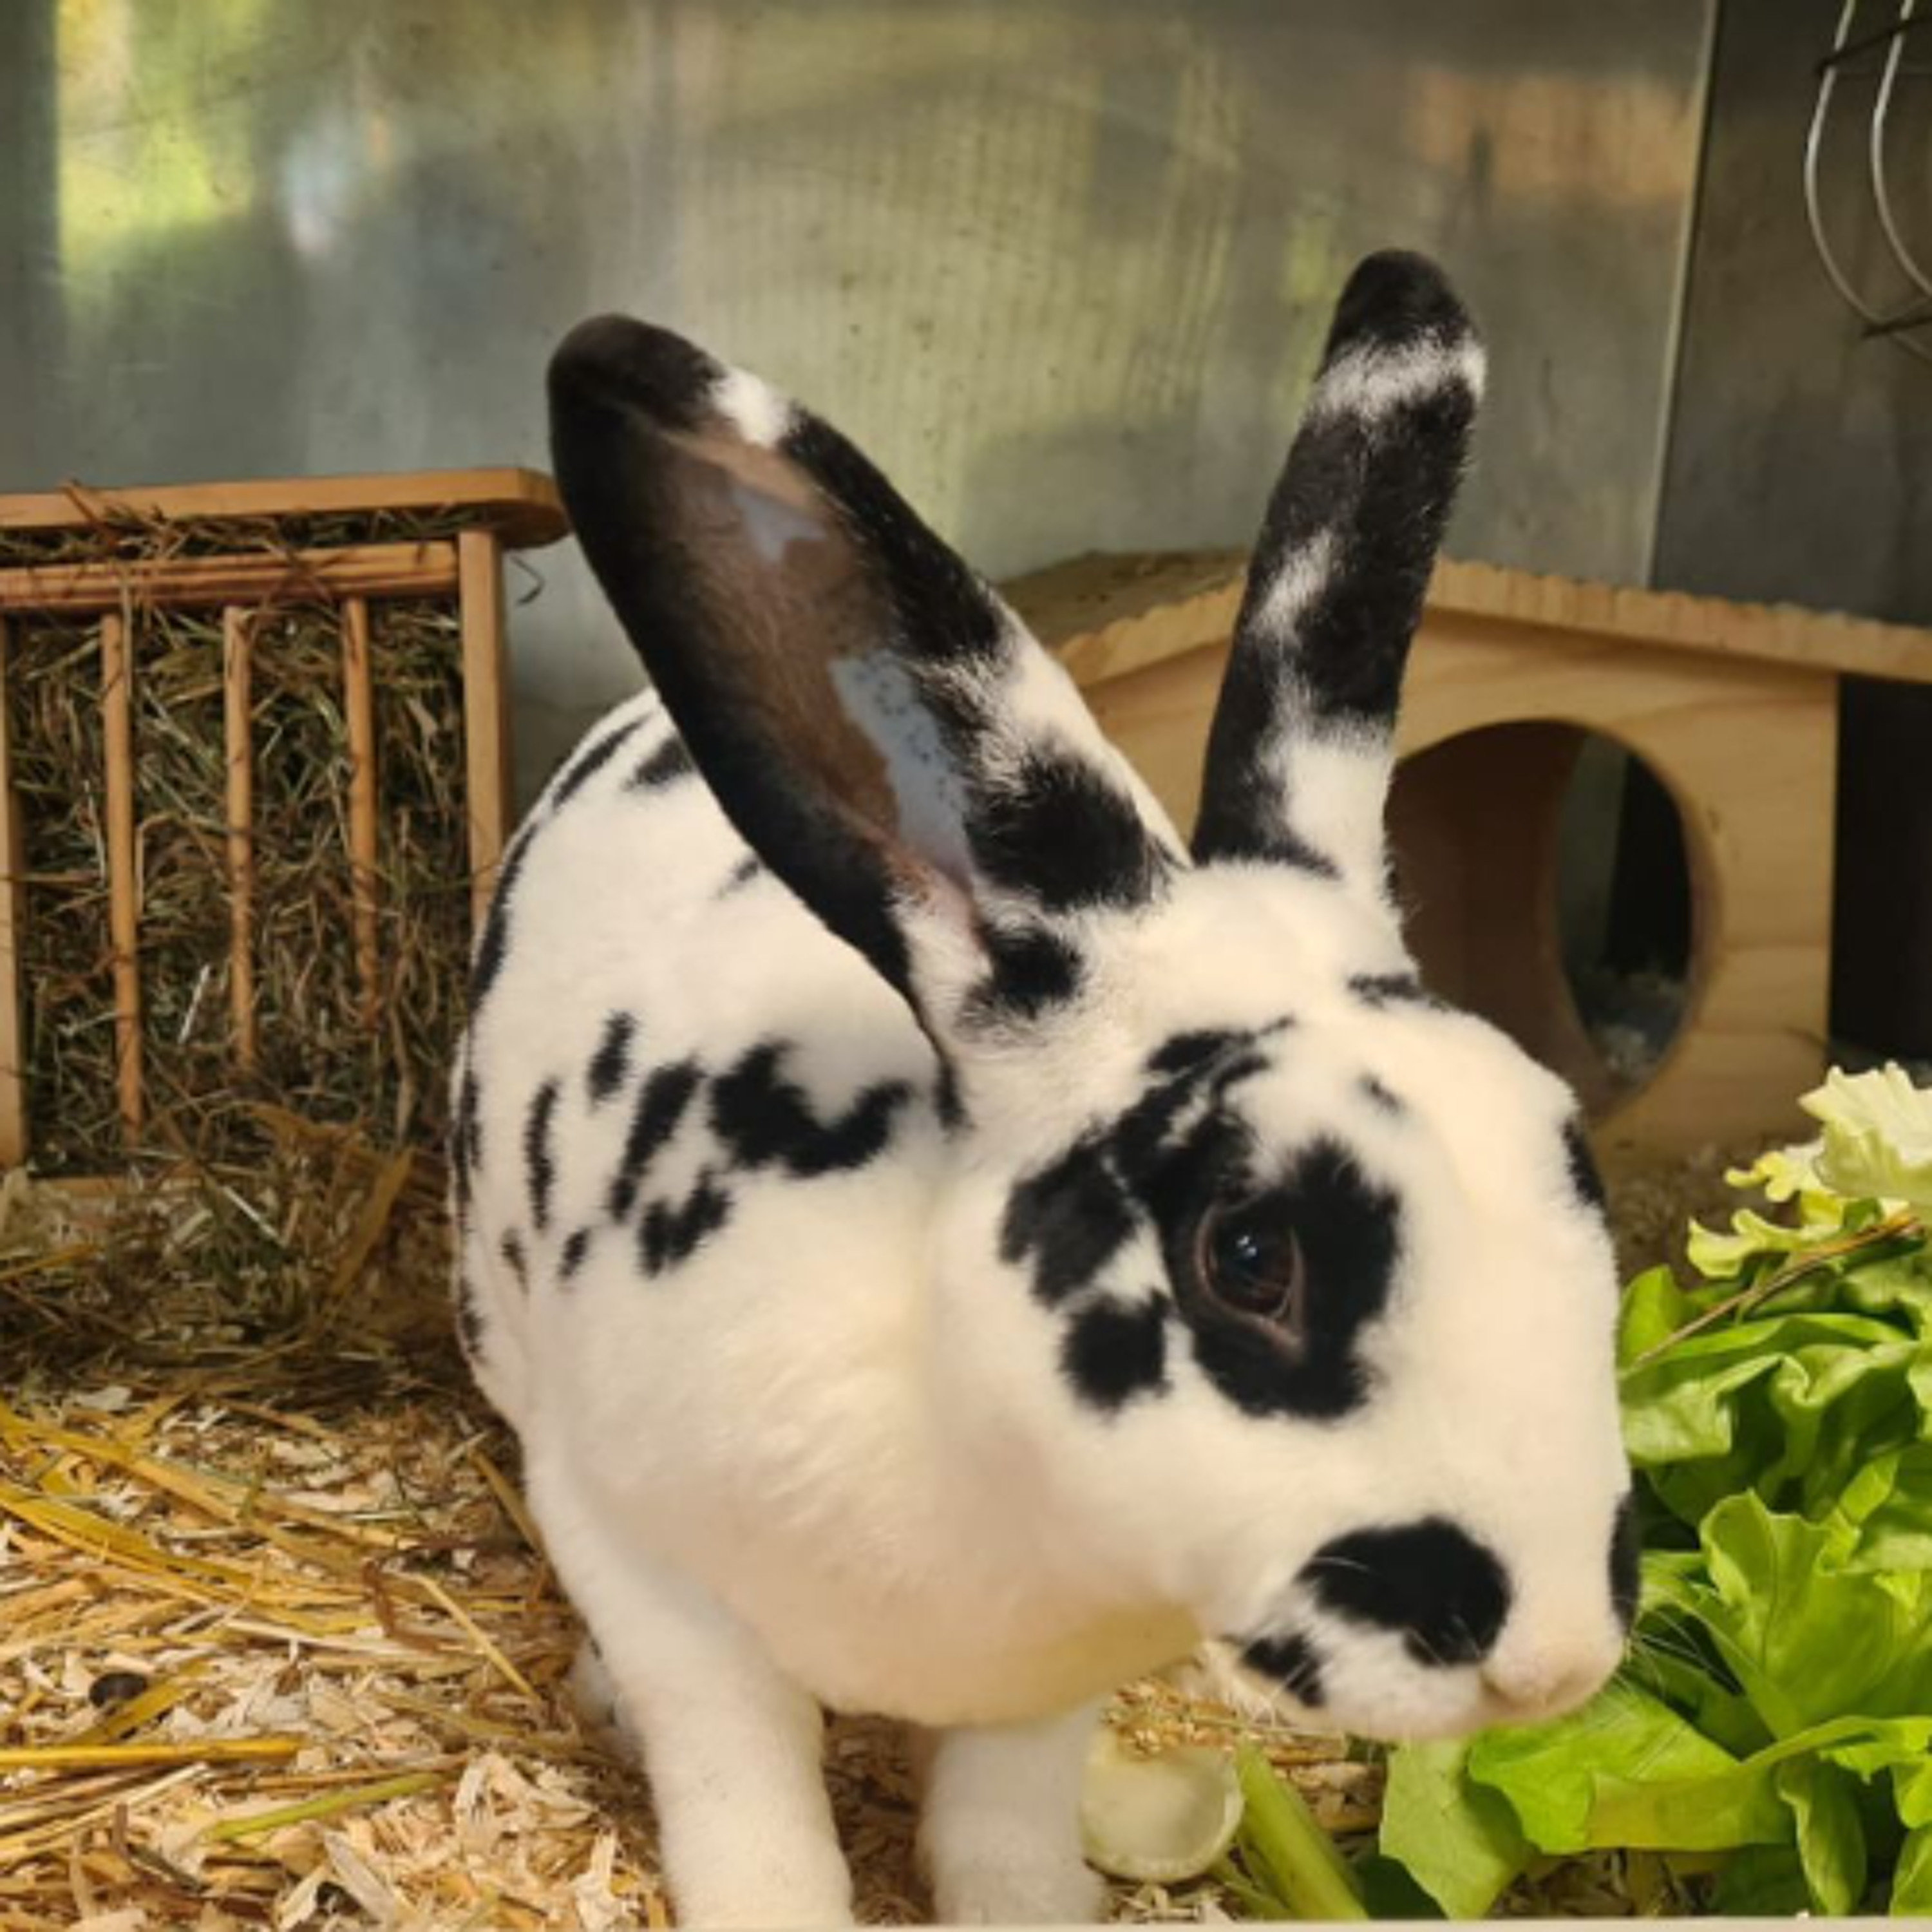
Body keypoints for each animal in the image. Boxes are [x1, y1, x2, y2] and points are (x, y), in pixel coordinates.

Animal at [450, 250, 1637, 1928]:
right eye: (1247, 1256)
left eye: (1575, 1167)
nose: (1552, 1658)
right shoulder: (643, 1556)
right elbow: (741, 1789)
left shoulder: (1044, 1696)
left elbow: (1000, 1827)